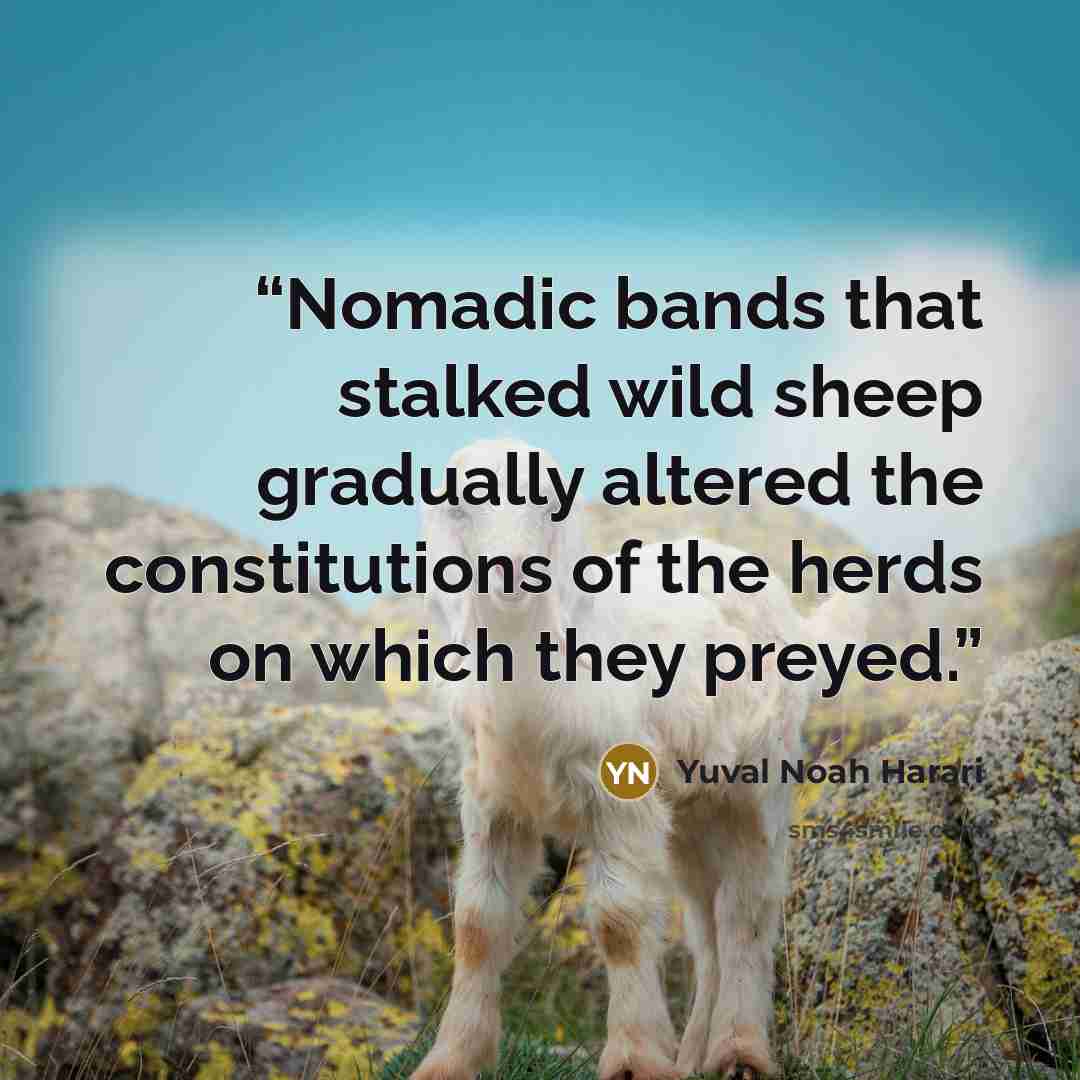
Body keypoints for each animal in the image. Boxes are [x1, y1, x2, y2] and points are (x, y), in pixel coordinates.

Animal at [411, 437, 858, 1080]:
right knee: (704, 923)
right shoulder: (492, 805)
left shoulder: (619, 798)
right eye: (458, 506)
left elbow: (619, 923)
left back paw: (739, 1052)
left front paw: (634, 1058)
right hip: (689, 811)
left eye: (548, 504)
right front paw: (451, 1060)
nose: (512, 571)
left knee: (745, 911)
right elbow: (477, 925)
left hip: (757, 783)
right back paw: (695, 1054)